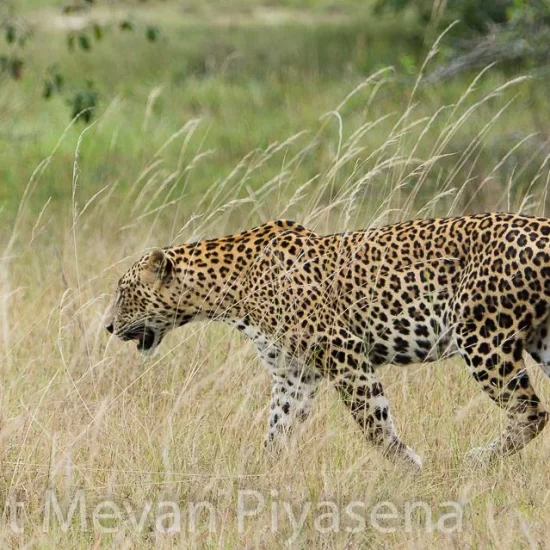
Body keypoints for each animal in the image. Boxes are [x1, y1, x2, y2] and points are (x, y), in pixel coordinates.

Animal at [106, 213, 550, 472]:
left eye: (124, 292)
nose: (107, 326)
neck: (229, 289)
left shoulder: (344, 351)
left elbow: (373, 422)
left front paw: (410, 466)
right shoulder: (294, 373)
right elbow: (278, 428)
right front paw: (262, 475)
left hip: (482, 337)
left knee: (531, 410)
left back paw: (476, 460)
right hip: (542, 341)